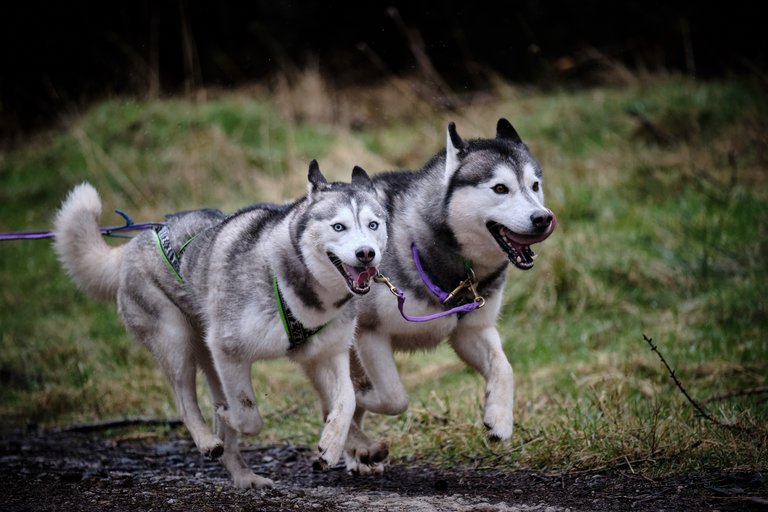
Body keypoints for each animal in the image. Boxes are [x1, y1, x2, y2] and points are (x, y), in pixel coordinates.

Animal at [53, 161, 388, 488]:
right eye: (338, 226)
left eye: (373, 224)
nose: (366, 254)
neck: (294, 281)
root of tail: (138, 239)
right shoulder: (230, 350)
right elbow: (248, 415)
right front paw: (229, 417)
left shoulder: (328, 352)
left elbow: (346, 400)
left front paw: (331, 446)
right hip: (176, 343)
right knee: (185, 402)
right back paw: (208, 440)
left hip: (209, 355)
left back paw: (246, 477)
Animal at [344, 119, 556, 472]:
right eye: (501, 188)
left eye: (535, 185)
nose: (543, 219)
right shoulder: (369, 333)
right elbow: (393, 397)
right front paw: (362, 394)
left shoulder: (471, 330)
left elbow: (505, 369)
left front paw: (499, 419)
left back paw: (357, 453)